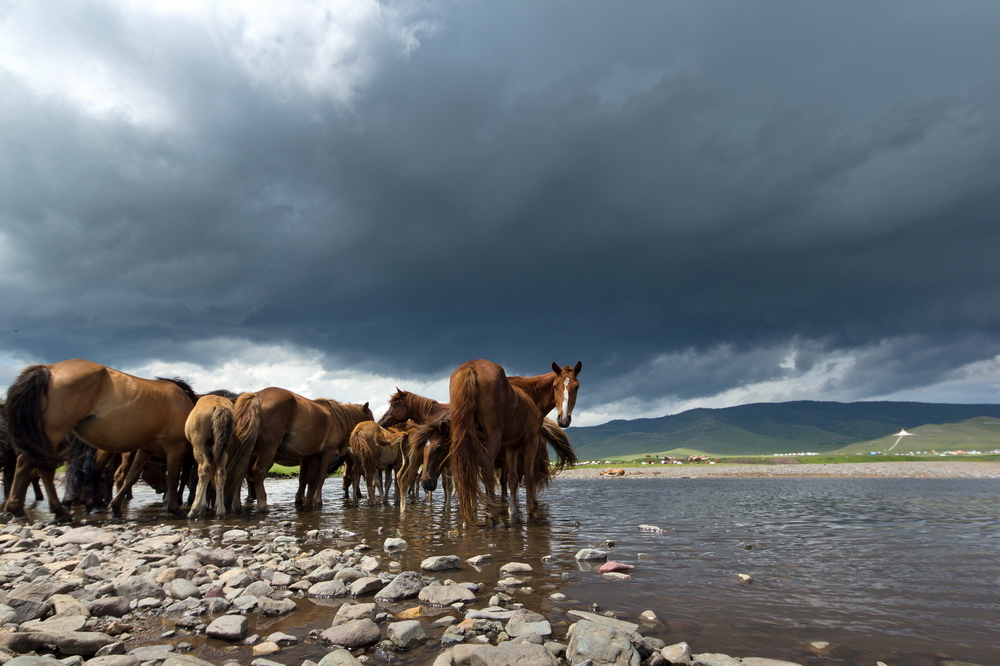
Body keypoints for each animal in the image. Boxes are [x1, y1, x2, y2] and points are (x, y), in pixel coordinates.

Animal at [1, 358, 197, 520]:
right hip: (53, 433)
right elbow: (174, 477)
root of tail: (47, 369)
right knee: (32, 465)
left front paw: (116, 506)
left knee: (37, 467)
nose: (160, 490)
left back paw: (43, 510)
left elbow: (131, 476)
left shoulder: (146, 449)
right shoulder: (175, 447)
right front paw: (174, 508)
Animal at [234, 386, 376, 510]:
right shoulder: (327, 453)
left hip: (248, 452)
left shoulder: (311, 456)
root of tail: (256, 396)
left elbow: (309, 479)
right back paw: (262, 505)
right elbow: (320, 478)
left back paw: (237, 506)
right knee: (257, 472)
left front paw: (306, 501)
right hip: (268, 449)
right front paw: (317, 501)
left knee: (239, 473)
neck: (337, 418)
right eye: (370, 419)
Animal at [450, 360, 584, 528]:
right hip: (493, 436)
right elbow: (529, 476)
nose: (564, 419)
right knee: (486, 468)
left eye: (576, 386)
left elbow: (513, 480)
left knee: (467, 470)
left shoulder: (511, 447)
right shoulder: (531, 442)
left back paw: (469, 517)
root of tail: (472, 366)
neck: (531, 396)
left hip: (467, 439)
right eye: (555, 386)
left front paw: (512, 511)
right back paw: (495, 518)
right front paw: (531, 511)